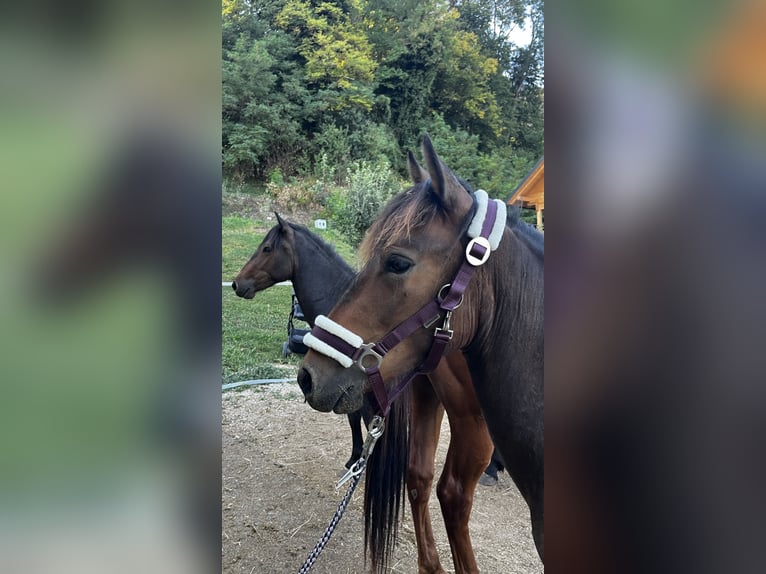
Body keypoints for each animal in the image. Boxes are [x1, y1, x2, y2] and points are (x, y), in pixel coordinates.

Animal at [232, 215, 498, 573]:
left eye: (267, 248)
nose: (237, 284)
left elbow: (357, 423)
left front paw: (363, 462)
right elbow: (354, 423)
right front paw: (355, 458)